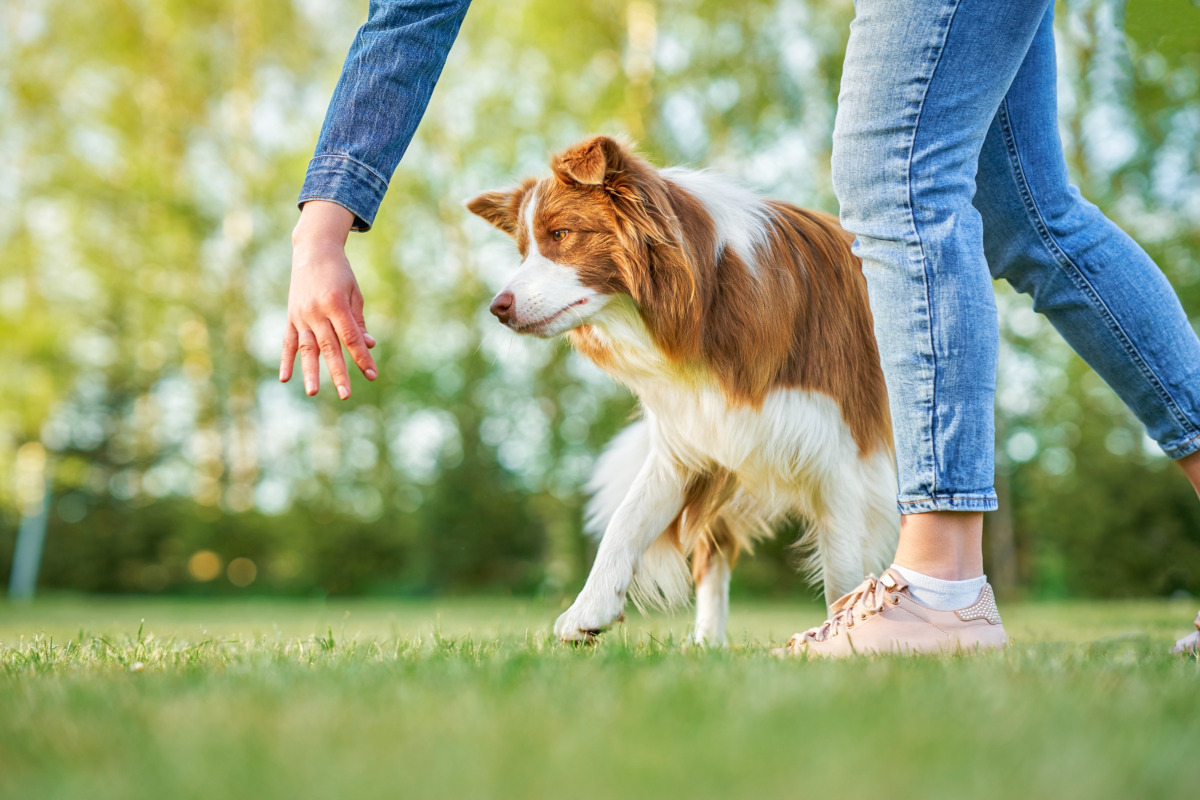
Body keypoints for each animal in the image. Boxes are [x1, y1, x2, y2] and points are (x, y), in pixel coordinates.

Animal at [468, 133, 902, 642]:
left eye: (561, 235)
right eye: (523, 251)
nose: (497, 307)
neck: (711, 295)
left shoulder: (843, 455)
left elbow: (843, 569)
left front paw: (844, 635)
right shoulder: (695, 433)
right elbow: (627, 520)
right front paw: (590, 609)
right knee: (712, 553)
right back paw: (707, 642)